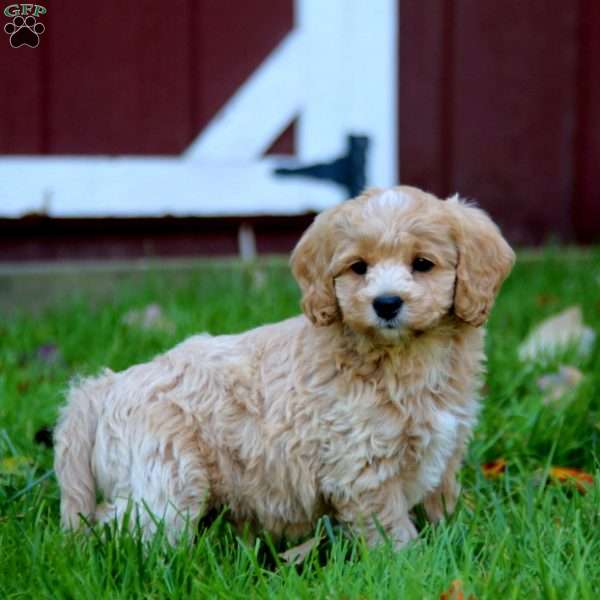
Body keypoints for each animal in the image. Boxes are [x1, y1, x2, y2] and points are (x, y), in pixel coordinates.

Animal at [56, 188, 512, 548]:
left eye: (423, 264)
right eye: (358, 267)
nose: (386, 303)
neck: (406, 356)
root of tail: (107, 386)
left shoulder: (446, 451)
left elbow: (442, 506)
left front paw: (458, 542)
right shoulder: (363, 467)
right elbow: (391, 530)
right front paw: (407, 567)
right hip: (169, 475)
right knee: (124, 526)